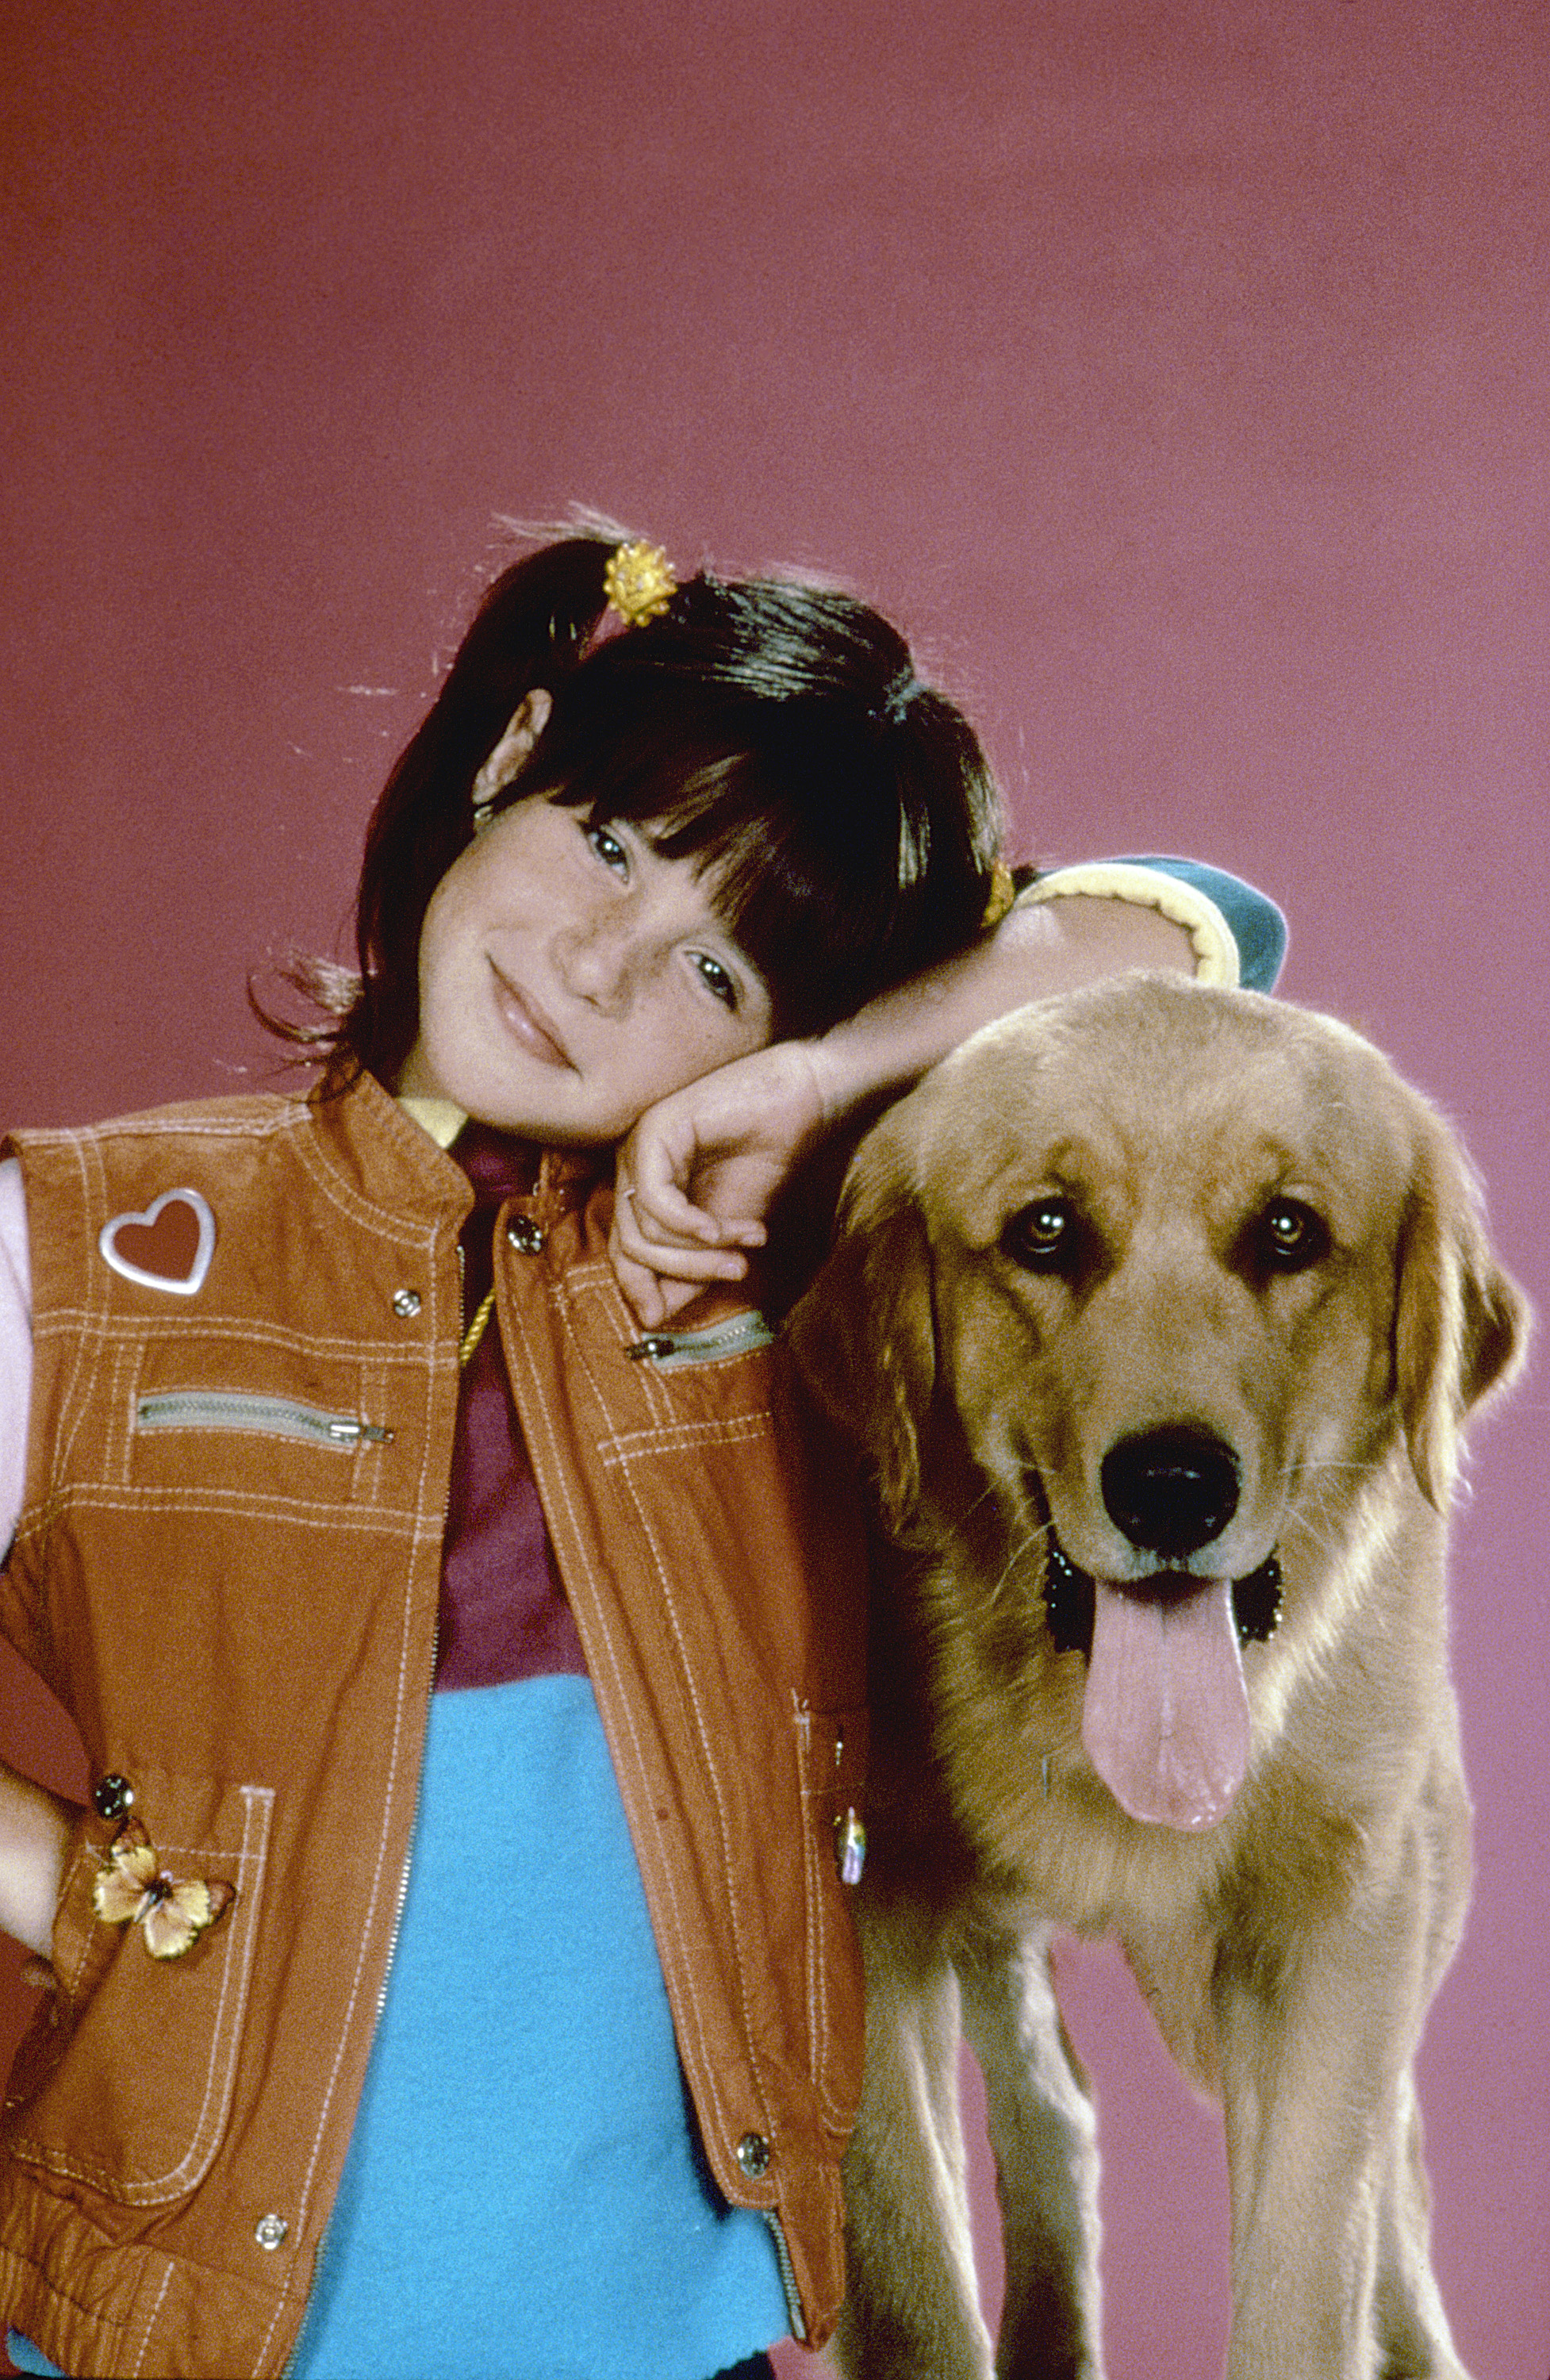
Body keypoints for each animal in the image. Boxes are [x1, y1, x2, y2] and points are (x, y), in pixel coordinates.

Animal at [795, 971, 1533, 2380]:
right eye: (1044, 1231)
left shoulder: (1332, 1926)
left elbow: (1309, 2272)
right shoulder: (861, 1910)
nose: (1173, 1487)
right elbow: (911, 2283)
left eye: (1289, 1232)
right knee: (1058, 2106)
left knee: (1394, 2201)